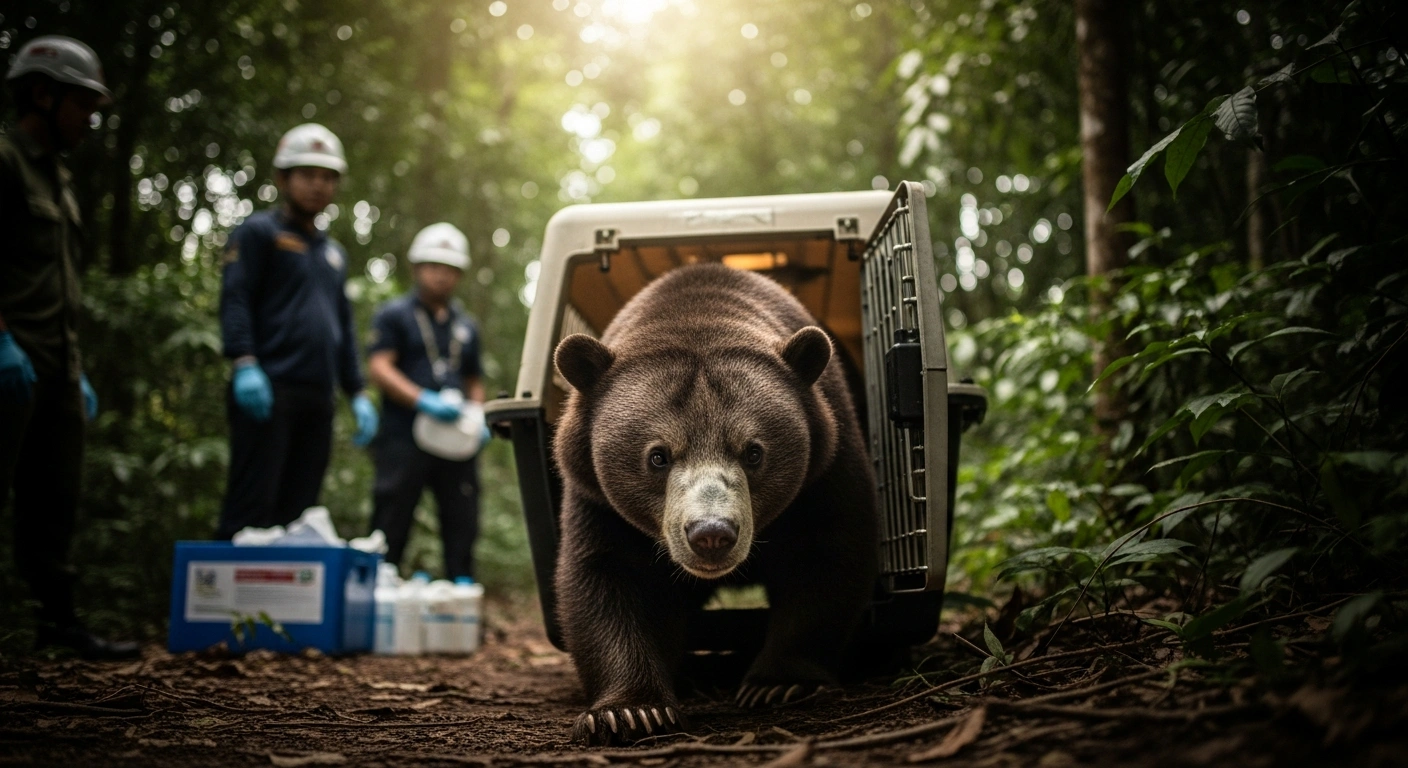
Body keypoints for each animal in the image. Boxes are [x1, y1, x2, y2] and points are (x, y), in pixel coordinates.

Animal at [551, 262, 879, 746]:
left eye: (754, 452)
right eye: (658, 456)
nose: (711, 535)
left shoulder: (825, 466)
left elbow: (828, 553)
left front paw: (778, 684)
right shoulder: (596, 497)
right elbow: (610, 576)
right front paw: (630, 712)